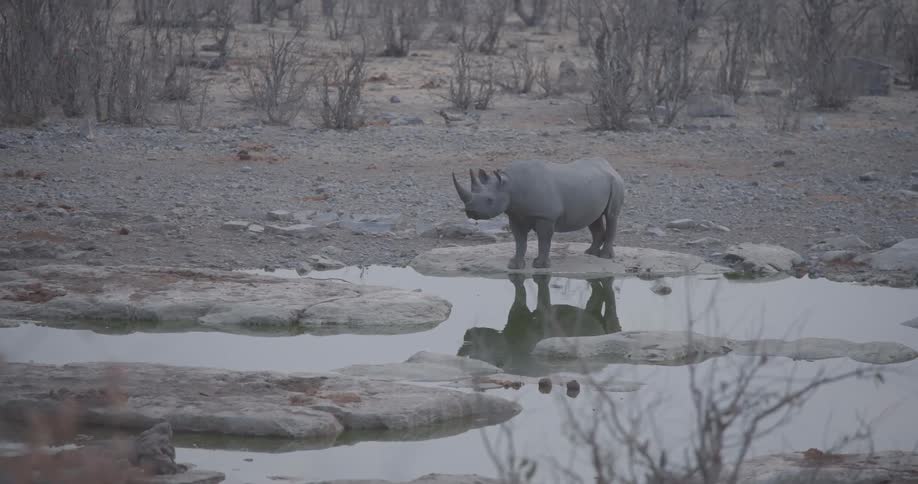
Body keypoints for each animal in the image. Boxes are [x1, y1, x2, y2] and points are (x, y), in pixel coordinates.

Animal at [452, 158, 625, 269]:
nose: (471, 211)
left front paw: (540, 265)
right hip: (594, 185)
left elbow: (544, 239)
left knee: (611, 215)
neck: (510, 185)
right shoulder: (515, 214)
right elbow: (520, 240)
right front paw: (514, 265)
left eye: (489, 200)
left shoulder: (545, 216)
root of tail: (609, 166)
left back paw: (604, 256)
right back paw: (590, 253)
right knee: (594, 219)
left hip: (616, 182)